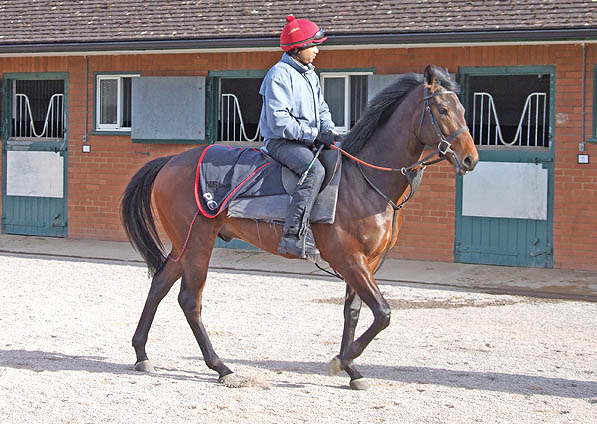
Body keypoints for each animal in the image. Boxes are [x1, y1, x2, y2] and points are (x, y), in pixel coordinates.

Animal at [121, 63, 480, 390]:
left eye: (463, 110)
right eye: (443, 110)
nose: (470, 159)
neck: (364, 181)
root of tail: (170, 161)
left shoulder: (368, 261)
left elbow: (353, 313)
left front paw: (353, 370)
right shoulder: (348, 258)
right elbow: (383, 312)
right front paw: (342, 361)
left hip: (183, 246)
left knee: (159, 285)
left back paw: (141, 354)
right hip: (198, 242)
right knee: (189, 300)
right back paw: (221, 367)